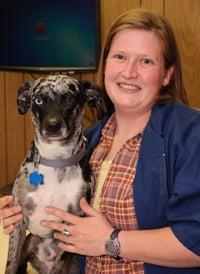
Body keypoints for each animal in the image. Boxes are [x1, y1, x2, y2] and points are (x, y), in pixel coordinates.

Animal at [5, 74, 104, 274]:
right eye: (38, 100)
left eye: (68, 99)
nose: (53, 125)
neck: (55, 159)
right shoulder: (18, 220)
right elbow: (11, 262)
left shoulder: (72, 223)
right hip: (29, 241)